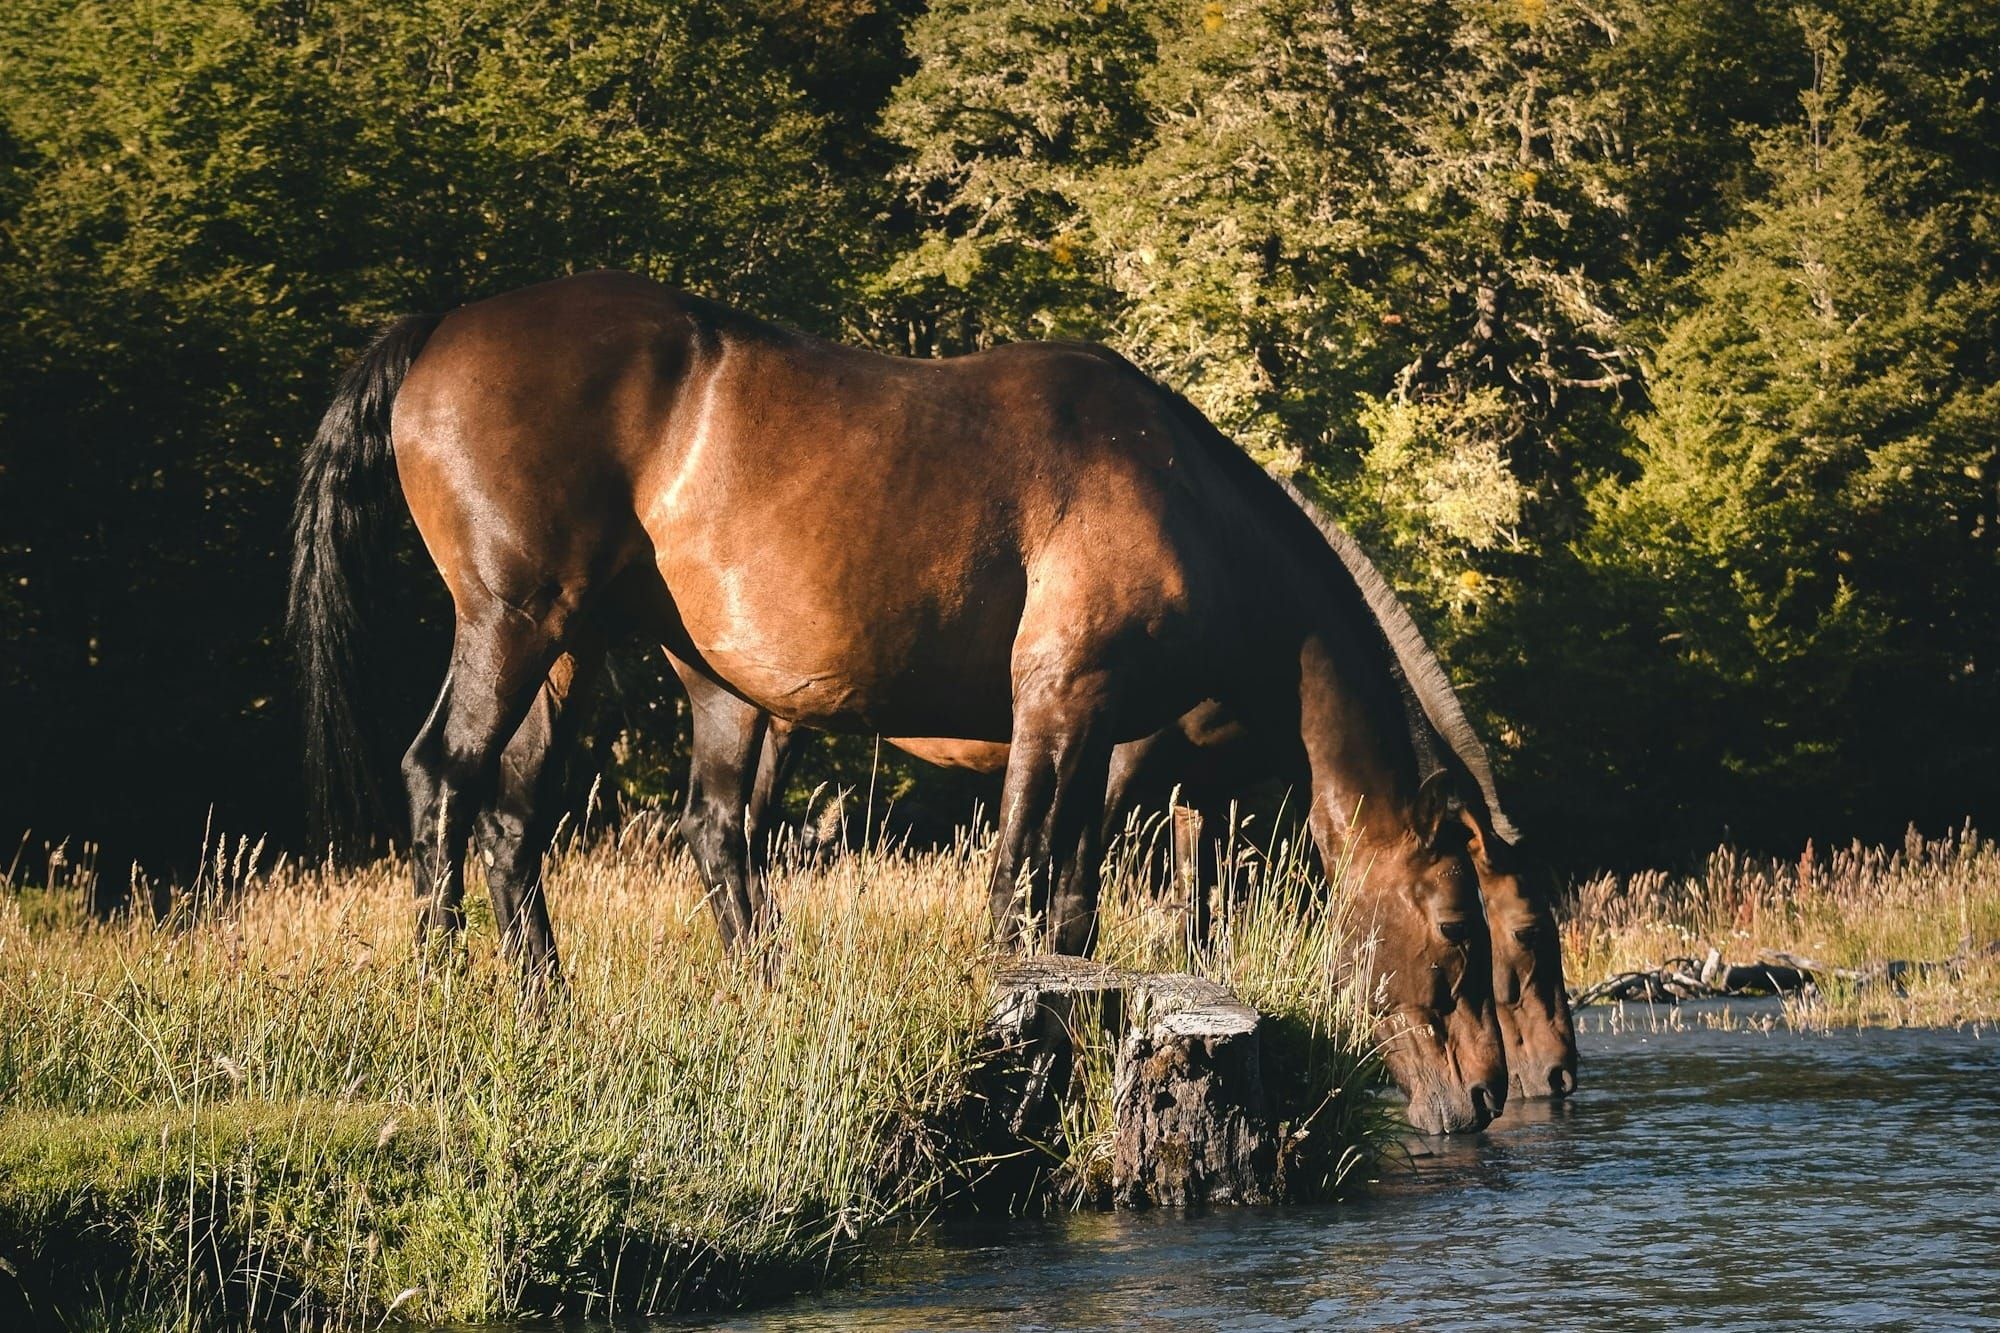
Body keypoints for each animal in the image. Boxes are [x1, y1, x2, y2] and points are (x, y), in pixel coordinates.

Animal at [695, 493, 1577, 1102]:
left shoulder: (1207, 794)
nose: (1560, 1073)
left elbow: (1201, 918)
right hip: (781, 714)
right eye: (1525, 932)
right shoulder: (1120, 763)